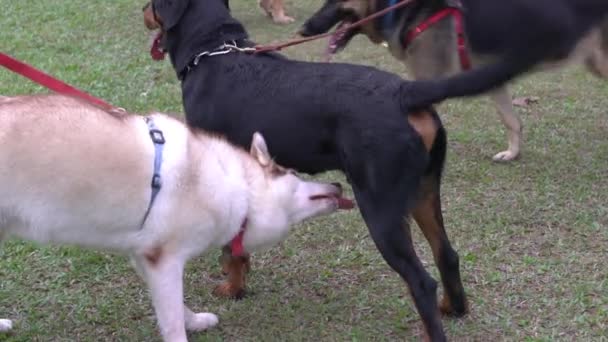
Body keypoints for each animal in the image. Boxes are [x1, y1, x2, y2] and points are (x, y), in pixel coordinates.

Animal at [0, 95, 352, 342]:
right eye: (292, 173)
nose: (337, 185)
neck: (239, 187)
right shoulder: (165, 260)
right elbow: (171, 321)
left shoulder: (146, 257)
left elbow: (176, 308)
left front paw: (195, 321)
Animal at [145, 0, 468, 340]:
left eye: (153, 5)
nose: (143, 12)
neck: (214, 53)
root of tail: (404, 92)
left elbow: (231, 249)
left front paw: (233, 288)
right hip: (424, 192)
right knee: (447, 254)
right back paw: (454, 307)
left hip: (381, 208)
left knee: (421, 281)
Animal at [300, 0, 608, 162]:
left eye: (332, 2)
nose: (303, 30)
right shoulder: (490, 77)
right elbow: (511, 120)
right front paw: (513, 153)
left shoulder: (427, 82)